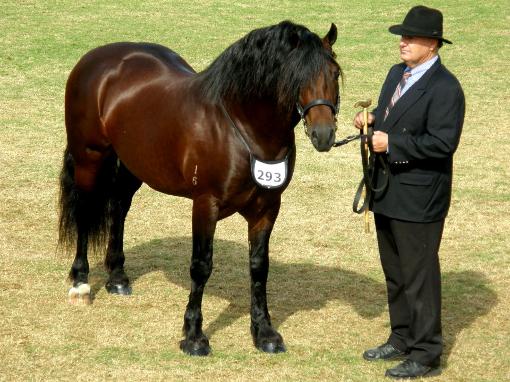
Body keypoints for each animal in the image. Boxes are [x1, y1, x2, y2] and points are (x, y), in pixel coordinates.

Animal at [57, 20, 340, 356]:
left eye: (335, 72)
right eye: (296, 75)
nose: (324, 134)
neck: (242, 128)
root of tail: (95, 59)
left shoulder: (268, 208)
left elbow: (259, 267)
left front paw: (265, 333)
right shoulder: (206, 204)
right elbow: (201, 266)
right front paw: (193, 336)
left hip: (133, 163)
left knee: (118, 208)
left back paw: (117, 277)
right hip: (89, 158)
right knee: (84, 212)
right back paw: (80, 283)